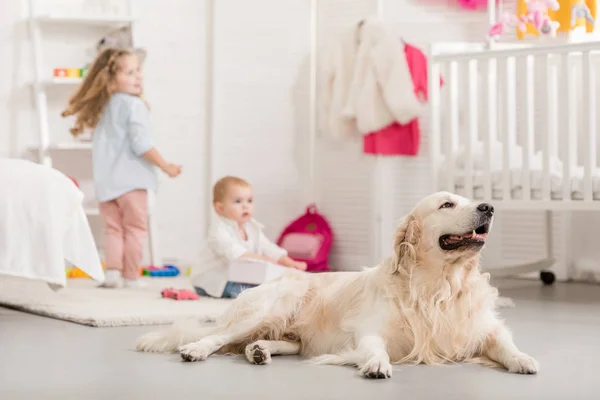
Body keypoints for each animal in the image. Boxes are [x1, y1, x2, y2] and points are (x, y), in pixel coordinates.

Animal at [137, 192, 540, 380]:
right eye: (446, 204)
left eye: (471, 200)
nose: (488, 207)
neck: (438, 286)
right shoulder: (370, 330)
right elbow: (374, 347)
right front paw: (377, 364)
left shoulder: (485, 327)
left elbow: (505, 343)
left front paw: (523, 358)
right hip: (269, 307)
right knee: (218, 337)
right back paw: (196, 349)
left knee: (276, 343)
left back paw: (260, 351)